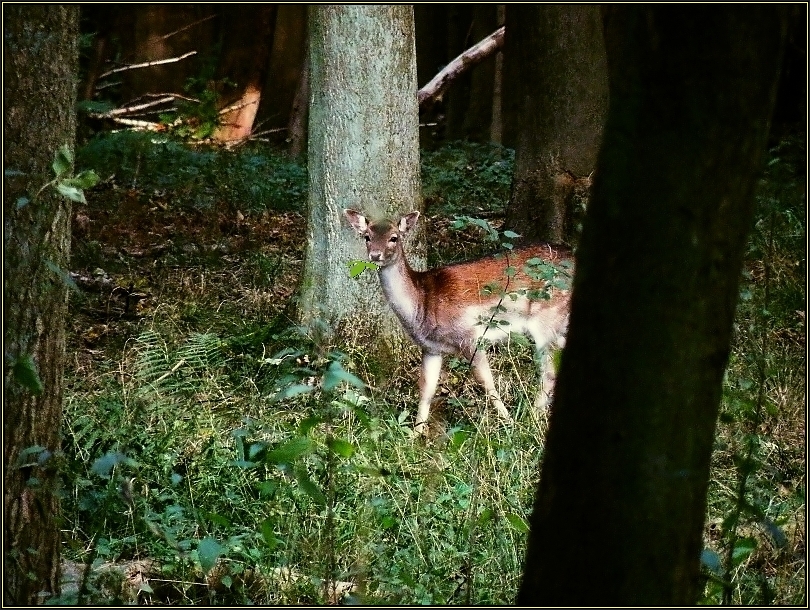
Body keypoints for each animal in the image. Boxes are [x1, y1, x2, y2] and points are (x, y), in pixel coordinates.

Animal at [344, 208, 572, 432]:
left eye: (394, 237)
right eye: (367, 237)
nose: (375, 254)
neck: (422, 305)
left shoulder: (469, 337)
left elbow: (487, 383)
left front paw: (508, 424)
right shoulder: (431, 348)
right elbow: (426, 390)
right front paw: (415, 435)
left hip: (547, 318)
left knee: (549, 373)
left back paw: (532, 417)